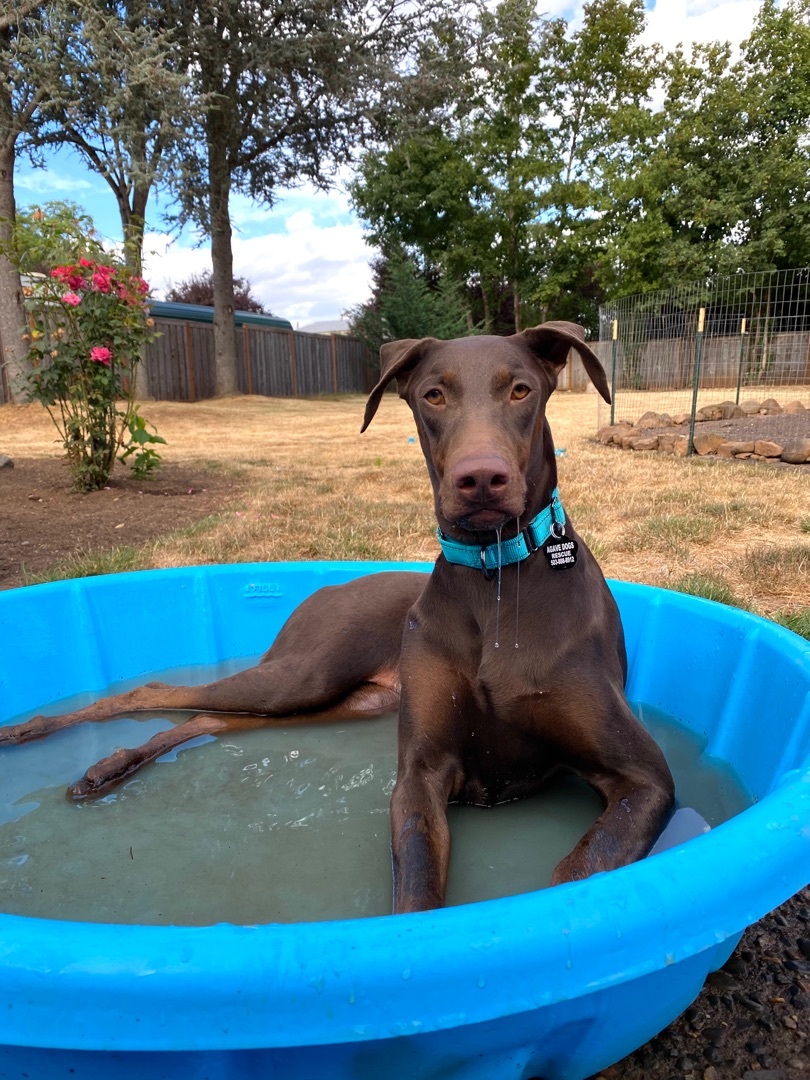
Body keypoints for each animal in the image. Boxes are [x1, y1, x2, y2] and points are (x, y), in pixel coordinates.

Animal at [1, 319, 673, 911]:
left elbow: (578, 871)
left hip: (347, 700)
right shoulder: (420, 776)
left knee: (208, 717)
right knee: (159, 692)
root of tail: (326, 587)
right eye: (433, 394)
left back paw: (106, 763)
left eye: (521, 390)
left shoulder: (644, 780)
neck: (496, 579)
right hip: (306, 676)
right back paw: (38, 736)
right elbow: (416, 889)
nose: (480, 479)